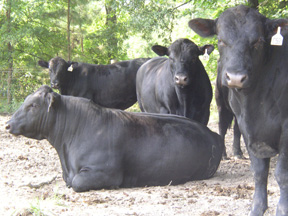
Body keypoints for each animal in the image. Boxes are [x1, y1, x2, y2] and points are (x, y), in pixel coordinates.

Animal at [189, 5, 288, 216]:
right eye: (221, 40)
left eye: (258, 41)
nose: (235, 77)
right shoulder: (246, 125)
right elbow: (259, 172)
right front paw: (257, 209)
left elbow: (282, 174)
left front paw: (282, 209)